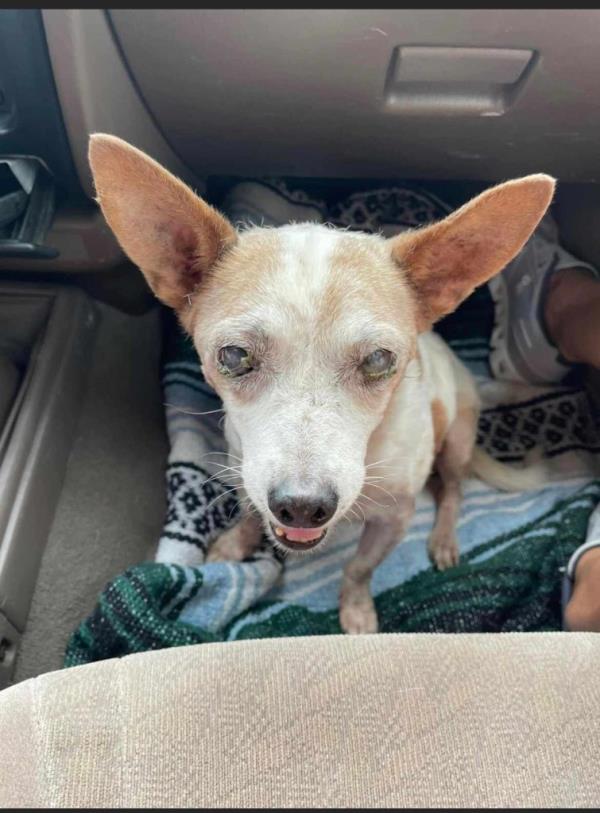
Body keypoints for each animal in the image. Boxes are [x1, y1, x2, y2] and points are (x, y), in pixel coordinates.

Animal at [88, 136, 552, 636]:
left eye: (379, 360)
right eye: (233, 356)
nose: (302, 507)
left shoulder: (395, 519)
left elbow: (359, 568)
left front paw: (356, 609)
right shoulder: (247, 472)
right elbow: (251, 515)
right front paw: (234, 546)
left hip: (457, 439)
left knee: (454, 489)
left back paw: (445, 536)